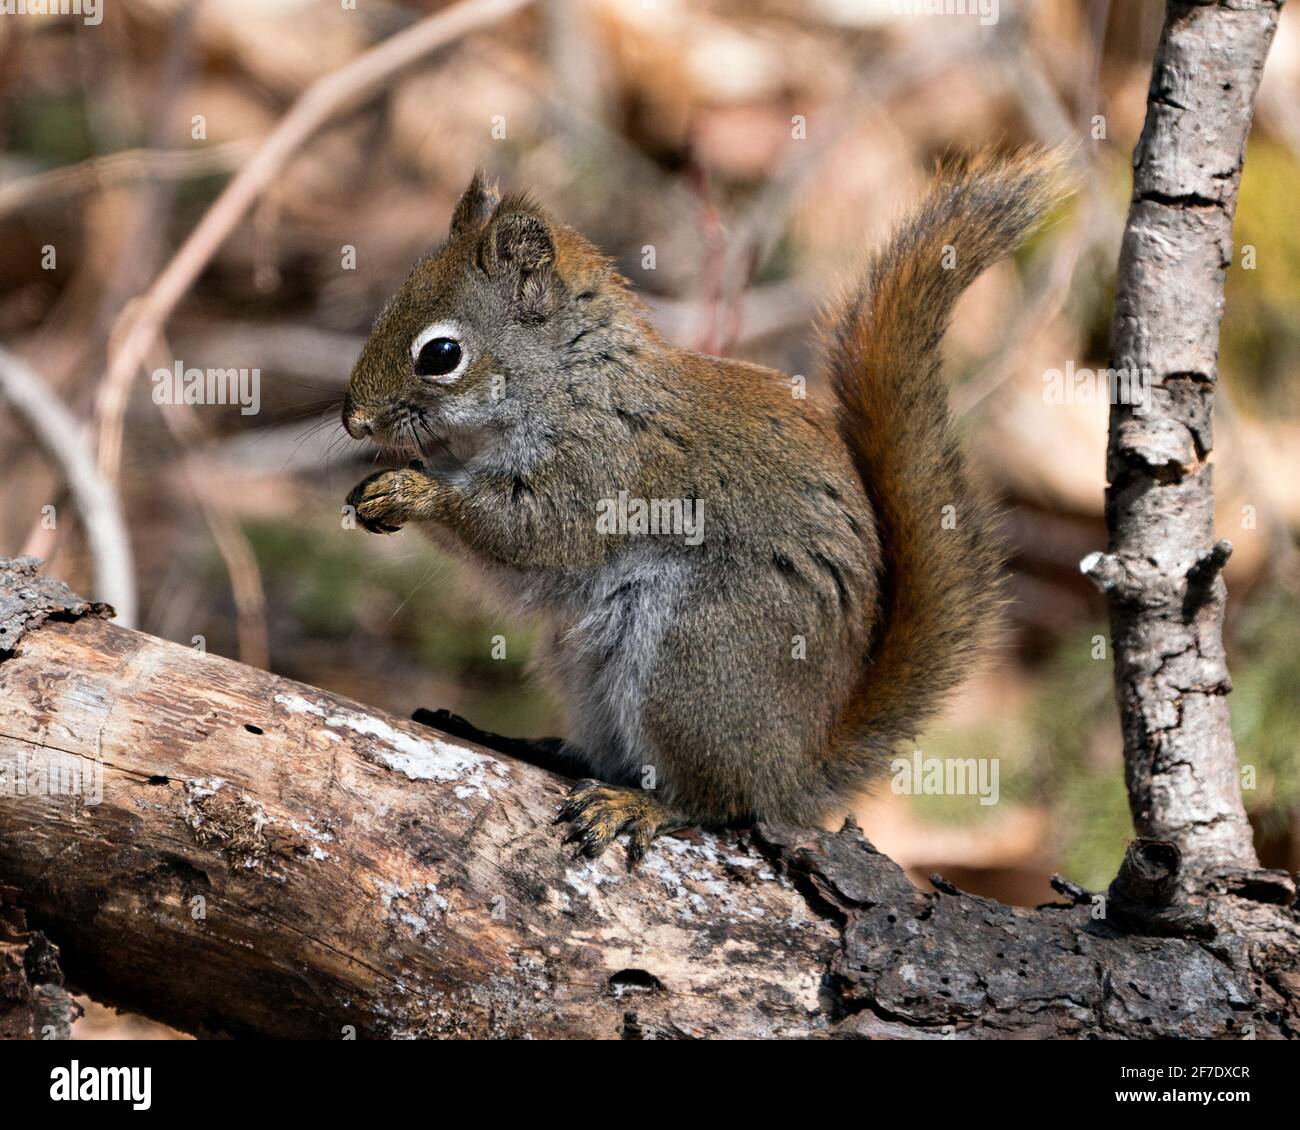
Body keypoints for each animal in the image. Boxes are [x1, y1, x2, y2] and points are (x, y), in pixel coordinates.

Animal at [340, 150, 1071, 863]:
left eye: (440, 354)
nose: (353, 422)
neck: (572, 380)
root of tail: (792, 766)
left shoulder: (602, 469)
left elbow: (527, 533)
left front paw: (413, 491)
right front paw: (371, 493)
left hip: (691, 659)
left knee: (716, 802)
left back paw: (636, 805)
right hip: (588, 670)